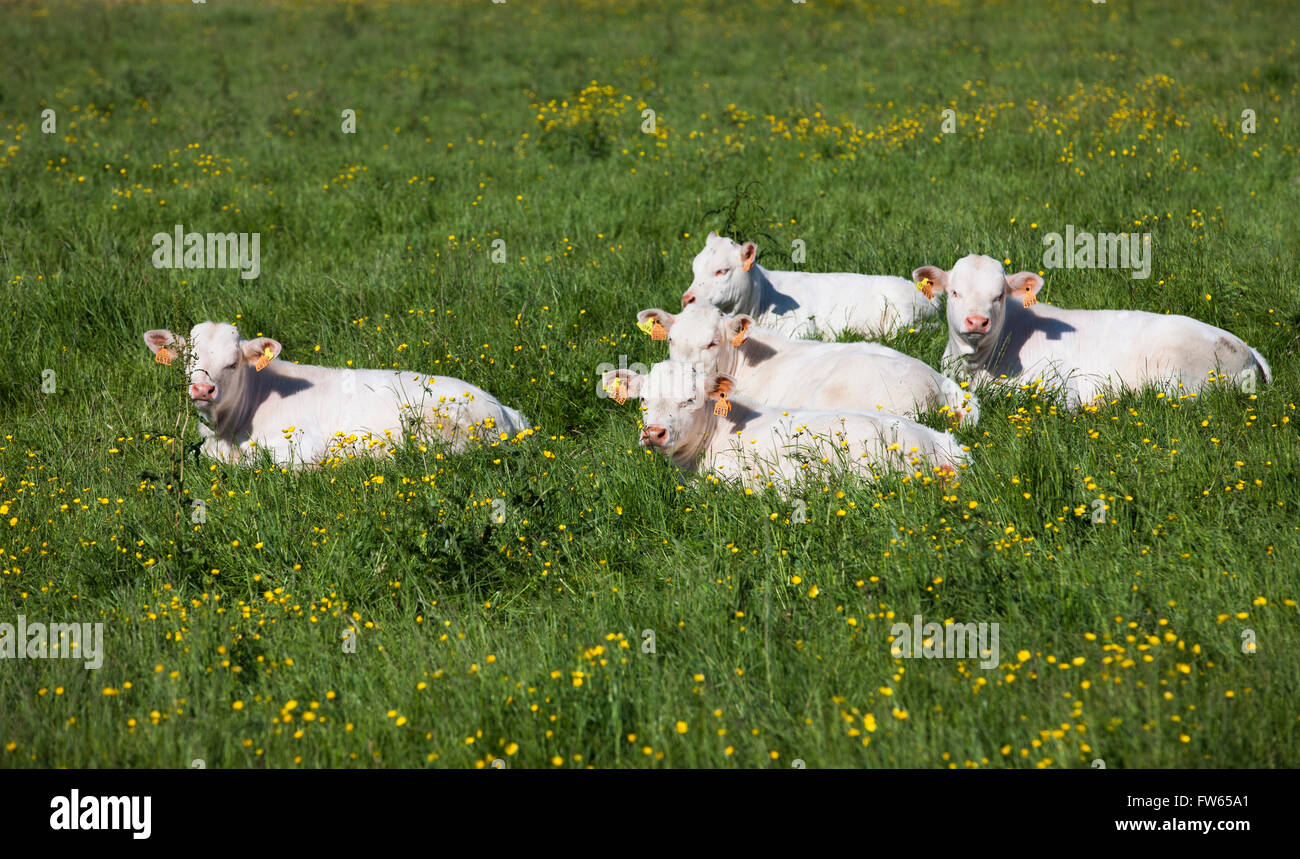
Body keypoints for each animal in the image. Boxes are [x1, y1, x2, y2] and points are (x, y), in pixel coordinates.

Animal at [915, 253, 1268, 408]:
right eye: (955, 293)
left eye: (999, 296)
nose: (977, 321)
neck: (976, 368)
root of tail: (1247, 350)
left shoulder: (1059, 385)